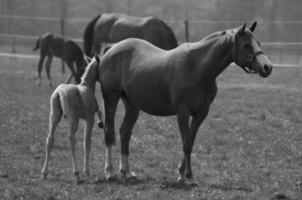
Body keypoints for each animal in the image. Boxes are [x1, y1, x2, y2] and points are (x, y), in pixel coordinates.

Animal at [41, 55, 104, 184]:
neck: (86, 86)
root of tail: (59, 92)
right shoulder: (88, 118)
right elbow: (87, 142)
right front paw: (87, 171)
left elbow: (99, 111)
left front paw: (101, 123)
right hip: (73, 120)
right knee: (71, 141)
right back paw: (77, 174)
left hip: (54, 117)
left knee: (50, 139)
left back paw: (44, 173)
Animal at [97, 21, 274, 185]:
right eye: (246, 45)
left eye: (258, 43)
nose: (268, 67)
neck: (197, 68)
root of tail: (111, 49)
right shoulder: (182, 112)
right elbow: (186, 143)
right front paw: (189, 176)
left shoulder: (201, 113)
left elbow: (190, 141)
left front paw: (182, 174)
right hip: (111, 98)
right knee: (109, 132)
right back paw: (109, 172)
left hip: (132, 105)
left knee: (125, 133)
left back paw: (126, 172)